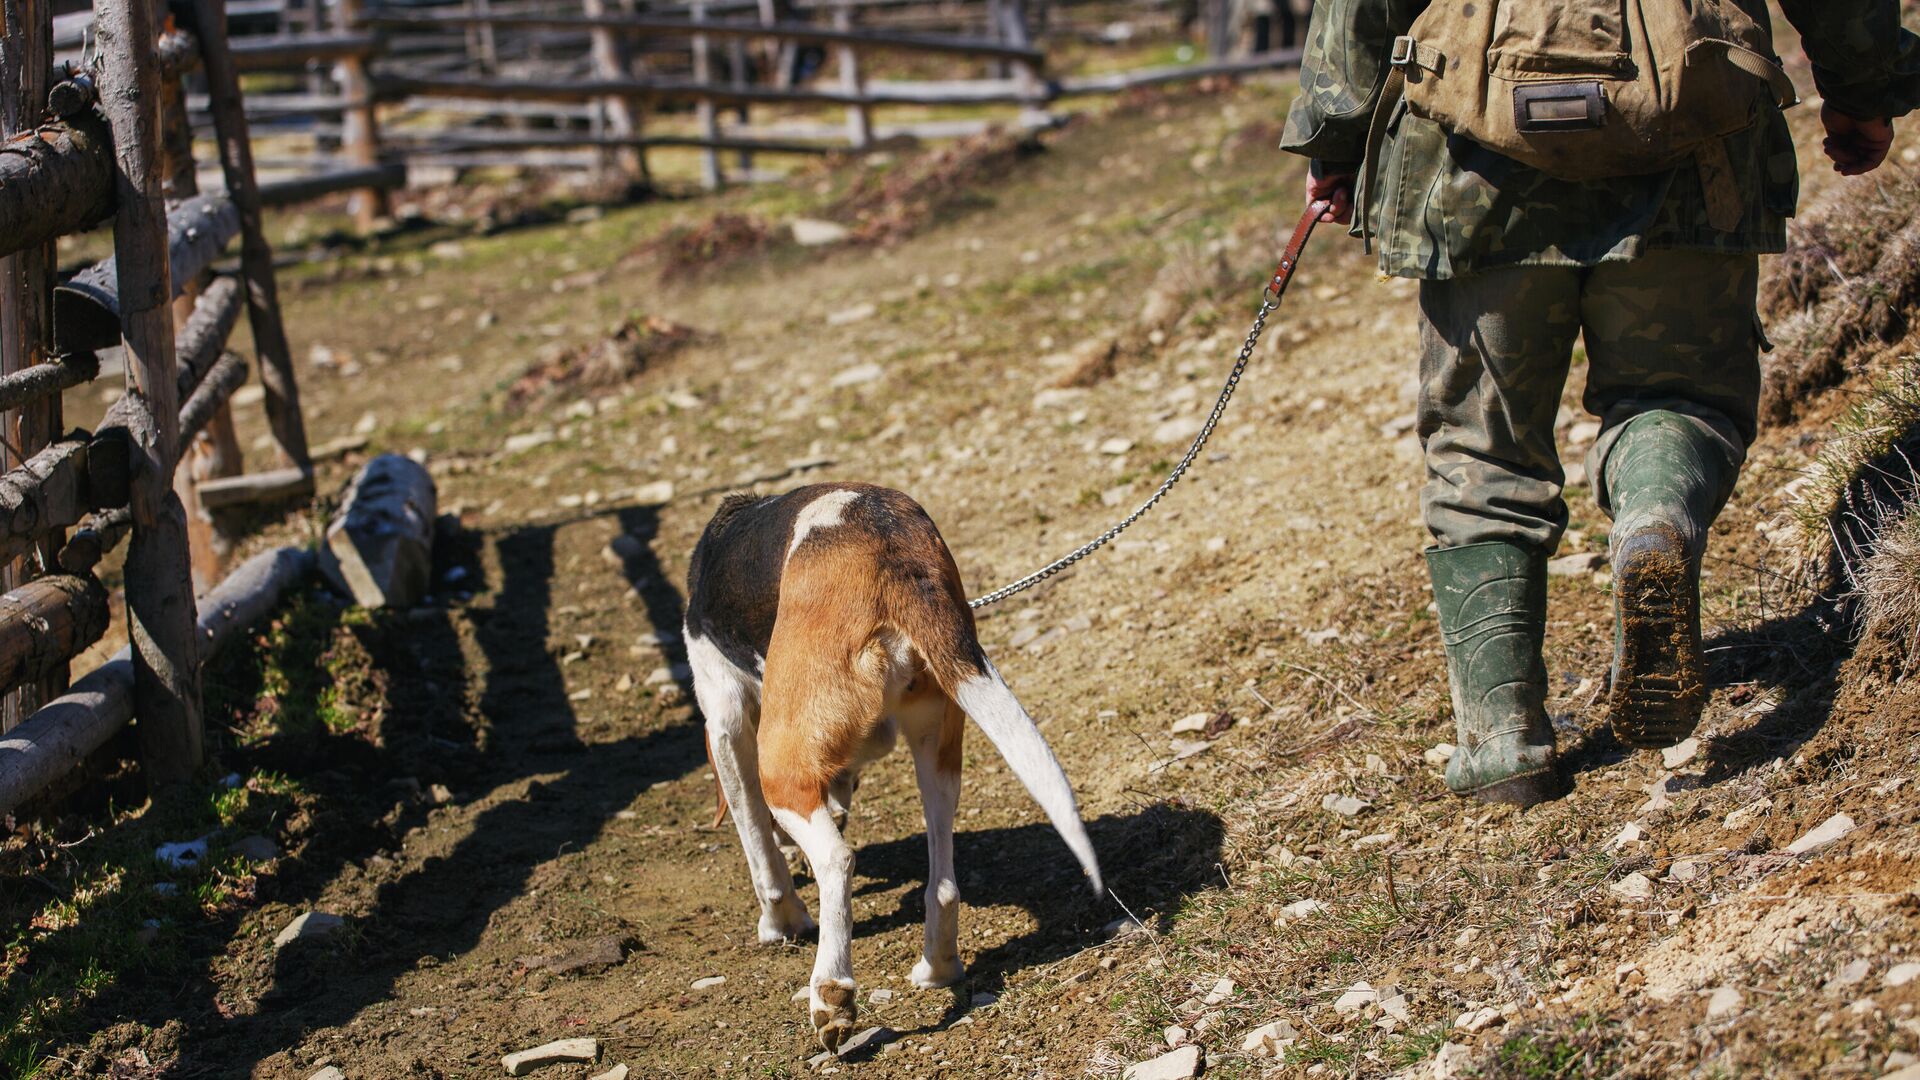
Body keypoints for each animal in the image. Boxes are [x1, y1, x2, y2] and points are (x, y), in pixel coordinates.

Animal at [683, 484, 1105, 1045]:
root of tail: (893, 546)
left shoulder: (724, 718)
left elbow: (758, 848)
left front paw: (780, 922)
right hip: (936, 742)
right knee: (943, 885)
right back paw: (938, 968)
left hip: (781, 761)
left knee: (836, 859)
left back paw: (832, 994)